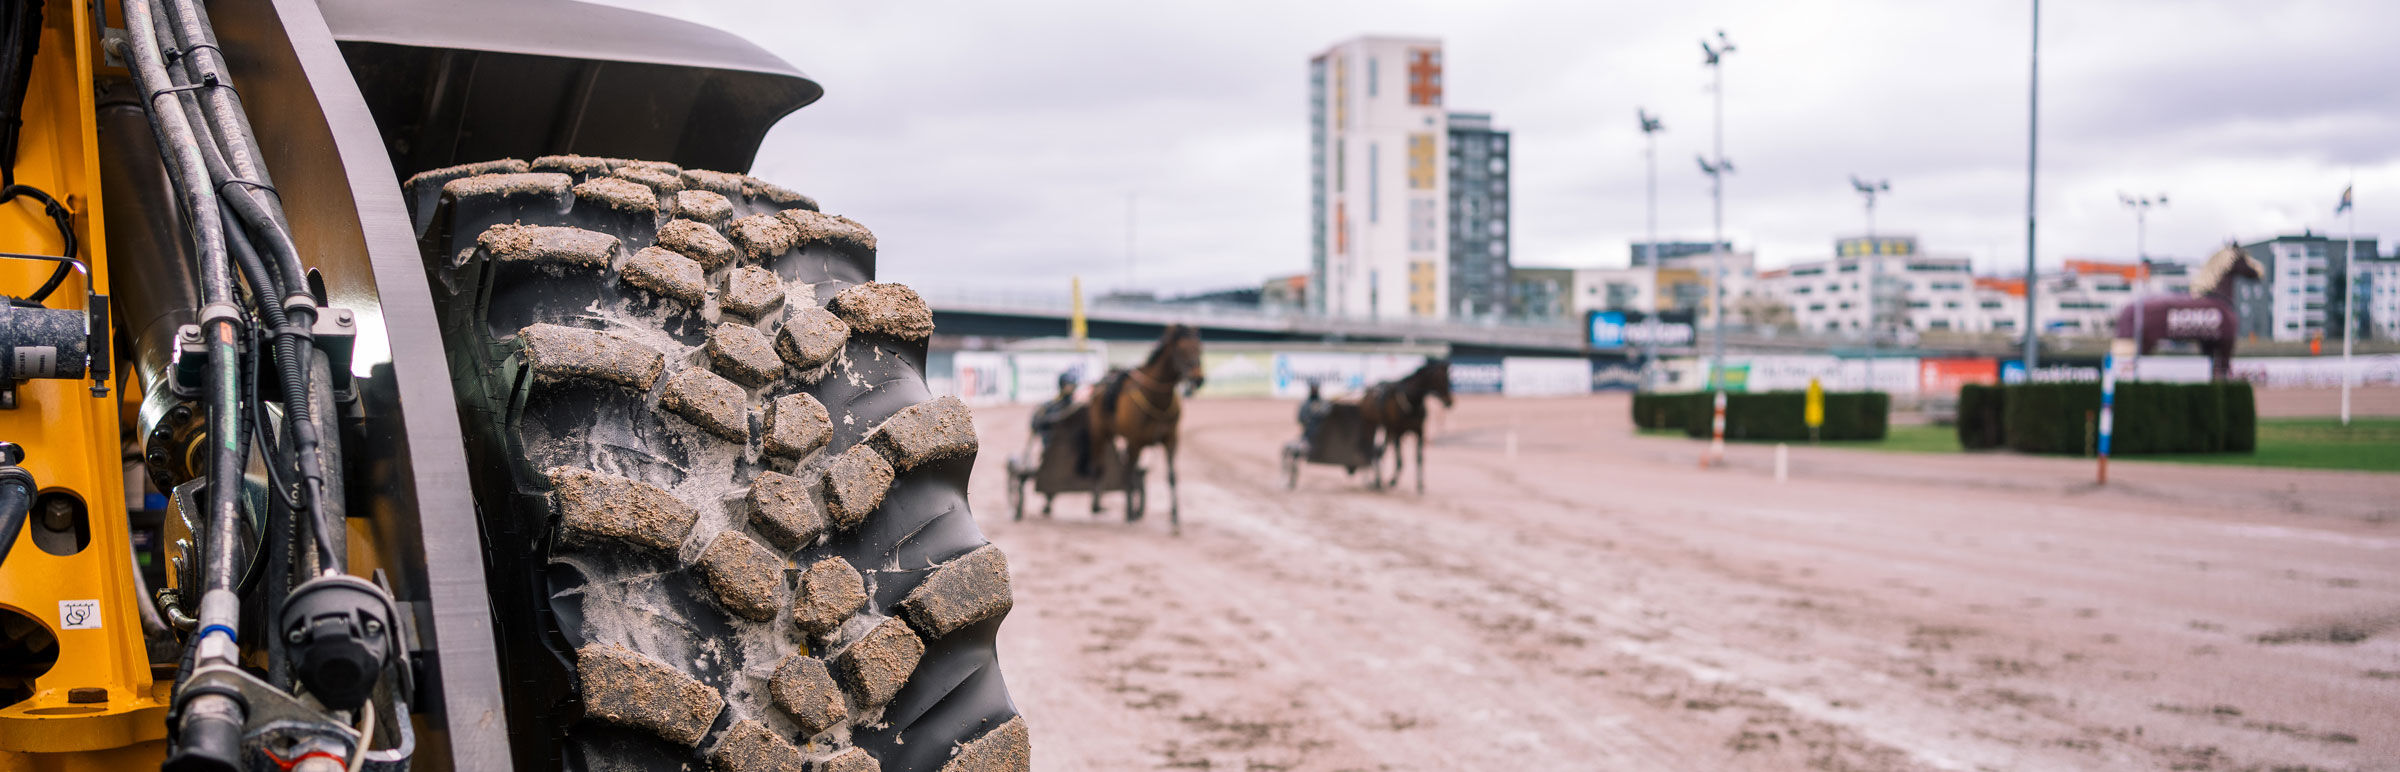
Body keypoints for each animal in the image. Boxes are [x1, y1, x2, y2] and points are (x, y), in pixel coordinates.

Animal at [1089, 323, 1200, 529]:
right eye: (1181, 349)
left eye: (1199, 347)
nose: (1198, 378)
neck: (1157, 400)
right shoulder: (1134, 441)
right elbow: (1128, 473)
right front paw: (1129, 513)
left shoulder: (1170, 439)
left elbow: (1171, 476)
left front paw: (1174, 516)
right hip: (1100, 433)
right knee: (1099, 466)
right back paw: (1097, 505)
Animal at [1363, 357, 1449, 493]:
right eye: (1440, 379)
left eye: (1449, 378)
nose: (1450, 401)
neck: (1412, 401)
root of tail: (1371, 389)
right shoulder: (1398, 432)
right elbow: (1400, 461)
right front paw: (1392, 480)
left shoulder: (1419, 431)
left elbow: (1419, 458)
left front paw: (1420, 484)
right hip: (1372, 426)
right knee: (1373, 450)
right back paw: (1375, 480)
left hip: (1388, 430)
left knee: (1380, 451)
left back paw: (1378, 480)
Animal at [2112, 244, 2256, 378]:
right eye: (2244, 257)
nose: (2259, 272)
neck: (2217, 297)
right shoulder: (2226, 342)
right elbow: (2222, 369)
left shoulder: (2208, 343)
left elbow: (2212, 368)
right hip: (2143, 343)